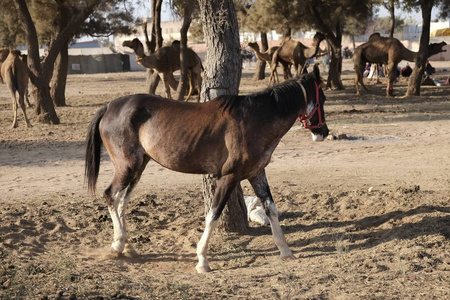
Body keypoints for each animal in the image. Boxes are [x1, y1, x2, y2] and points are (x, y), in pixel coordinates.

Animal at [86, 64, 328, 274]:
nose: (323, 132)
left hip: (138, 167)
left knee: (121, 202)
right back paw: (118, 245)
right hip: (127, 166)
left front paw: (285, 251)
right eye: (323, 99)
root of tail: (110, 107)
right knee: (110, 196)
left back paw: (127, 245)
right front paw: (202, 260)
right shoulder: (229, 177)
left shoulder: (257, 174)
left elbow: (272, 209)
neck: (255, 119)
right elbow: (213, 215)